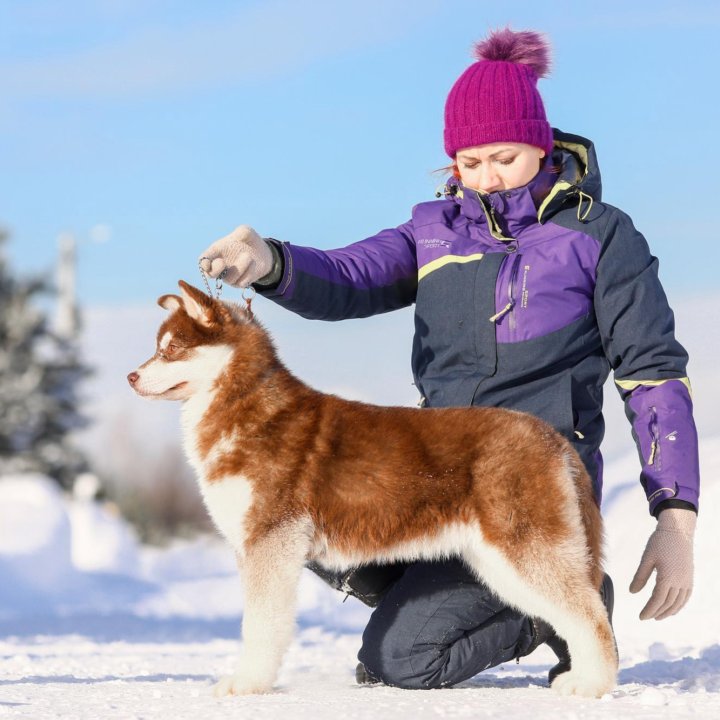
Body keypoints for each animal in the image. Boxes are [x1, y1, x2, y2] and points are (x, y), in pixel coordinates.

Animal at [128, 280, 620, 696]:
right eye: (158, 348)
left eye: (171, 349)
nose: (131, 376)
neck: (243, 405)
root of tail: (551, 436)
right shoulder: (258, 544)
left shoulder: (270, 539)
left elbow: (261, 624)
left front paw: (247, 682)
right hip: (495, 562)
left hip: (524, 548)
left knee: (589, 613)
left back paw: (591, 683)